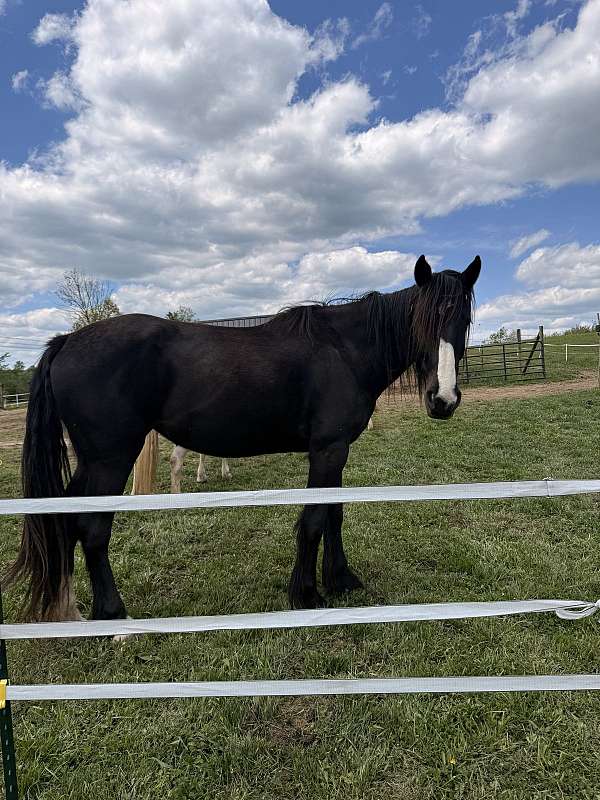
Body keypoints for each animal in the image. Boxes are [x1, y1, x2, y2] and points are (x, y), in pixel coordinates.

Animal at [3, 254, 480, 621]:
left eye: (463, 319)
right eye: (422, 320)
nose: (443, 399)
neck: (343, 350)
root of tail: (67, 341)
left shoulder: (337, 451)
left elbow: (334, 515)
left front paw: (341, 580)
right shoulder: (326, 450)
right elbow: (313, 520)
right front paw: (306, 595)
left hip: (93, 461)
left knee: (63, 520)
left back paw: (67, 613)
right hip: (110, 460)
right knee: (92, 527)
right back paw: (113, 618)